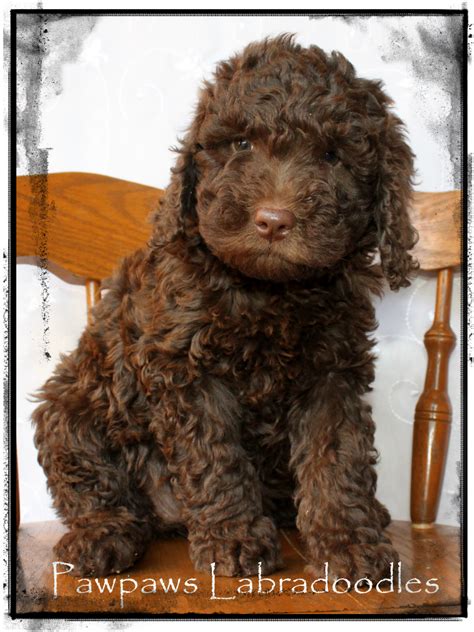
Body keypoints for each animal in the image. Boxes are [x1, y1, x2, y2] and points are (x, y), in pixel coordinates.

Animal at [33, 33, 416, 576]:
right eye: (241, 145)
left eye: (332, 155)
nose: (273, 221)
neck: (269, 290)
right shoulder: (187, 368)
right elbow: (216, 455)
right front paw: (234, 538)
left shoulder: (333, 370)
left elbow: (337, 453)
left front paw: (348, 541)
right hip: (71, 408)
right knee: (94, 485)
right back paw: (101, 537)